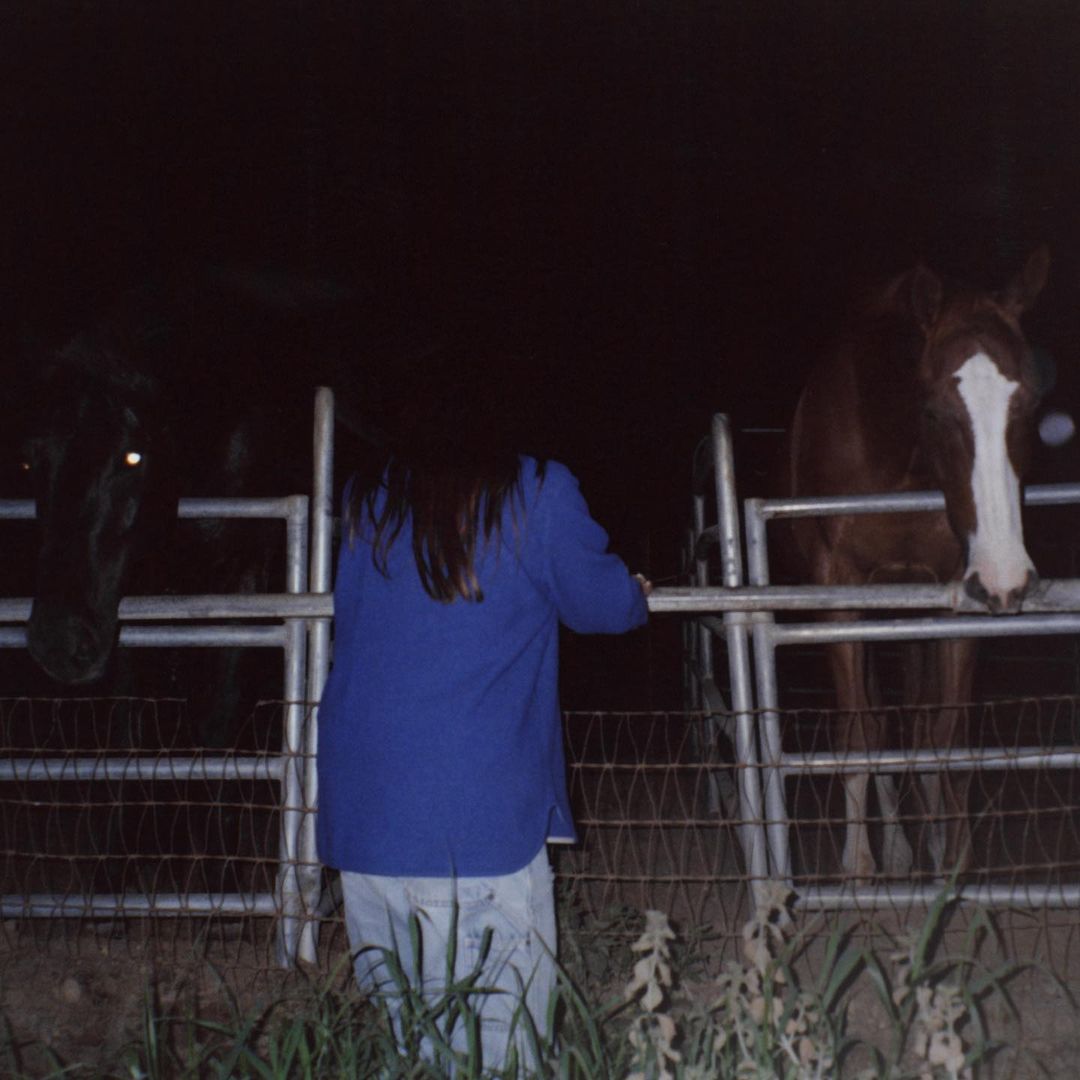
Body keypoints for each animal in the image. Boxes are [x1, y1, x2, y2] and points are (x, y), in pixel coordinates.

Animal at [777, 246, 1050, 881]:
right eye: (934, 410)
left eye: (1029, 403)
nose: (1007, 578)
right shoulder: (840, 590)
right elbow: (860, 730)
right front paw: (859, 868)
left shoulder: (955, 593)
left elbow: (944, 733)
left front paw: (953, 862)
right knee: (880, 720)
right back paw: (896, 850)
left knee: (916, 720)